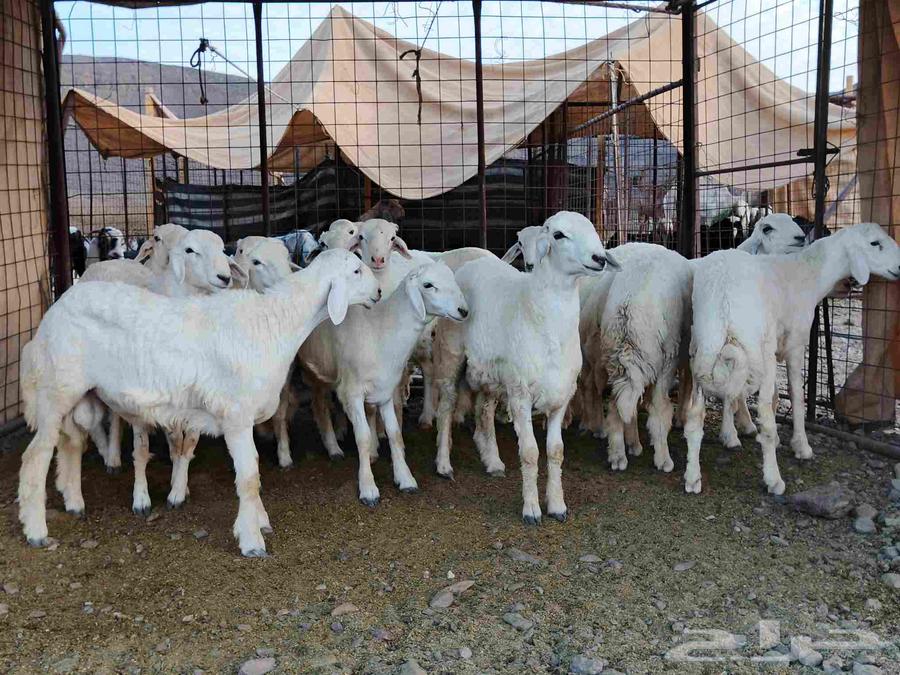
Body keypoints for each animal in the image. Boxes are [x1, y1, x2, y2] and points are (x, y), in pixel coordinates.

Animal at [18, 249, 381, 556]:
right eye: (356, 270)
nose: (379, 293)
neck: (275, 325)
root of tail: (54, 311)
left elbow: (254, 474)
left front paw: (260, 521)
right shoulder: (236, 417)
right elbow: (248, 477)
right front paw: (251, 540)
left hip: (78, 393)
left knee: (70, 443)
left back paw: (74, 502)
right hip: (55, 388)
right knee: (35, 456)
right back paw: (36, 530)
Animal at [300, 262, 468, 504]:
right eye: (428, 285)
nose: (463, 311)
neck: (380, 331)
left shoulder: (385, 390)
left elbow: (394, 432)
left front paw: (405, 478)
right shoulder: (352, 391)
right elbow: (362, 436)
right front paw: (368, 487)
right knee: (319, 406)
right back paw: (332, 448)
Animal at [431, 211, 619, 522]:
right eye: (558, 235)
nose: (599, 258)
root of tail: (474, 263)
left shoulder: (561, 398)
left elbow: (556, 452)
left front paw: (557, 505)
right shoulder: (520, 397)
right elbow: (530, 452)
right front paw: (531, 509)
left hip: (492, 373)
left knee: (484, 410)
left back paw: (493, 461)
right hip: (450, 356)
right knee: (445, 408)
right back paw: (444, 464)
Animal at [684, 222, 900, 496]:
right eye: (875, 243)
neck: (811, 274)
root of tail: (722, 293)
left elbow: (777, 395)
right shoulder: (795, 345)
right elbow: (796, 394)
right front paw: (801, 446)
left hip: (704, 349)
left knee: (695, 416)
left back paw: (693, 477)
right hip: (755, 352)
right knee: (764, 416)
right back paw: (773, 478)